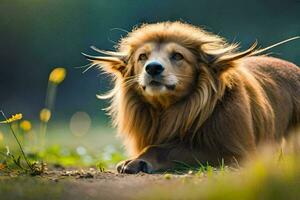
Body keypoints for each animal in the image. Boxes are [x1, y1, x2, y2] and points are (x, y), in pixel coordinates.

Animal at [84, 21, 300, 173]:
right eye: (142, 57)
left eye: (177, 56)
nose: (153, 68)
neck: (171, 110)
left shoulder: (236, 153)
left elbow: (166, 148)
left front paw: (138, 161)